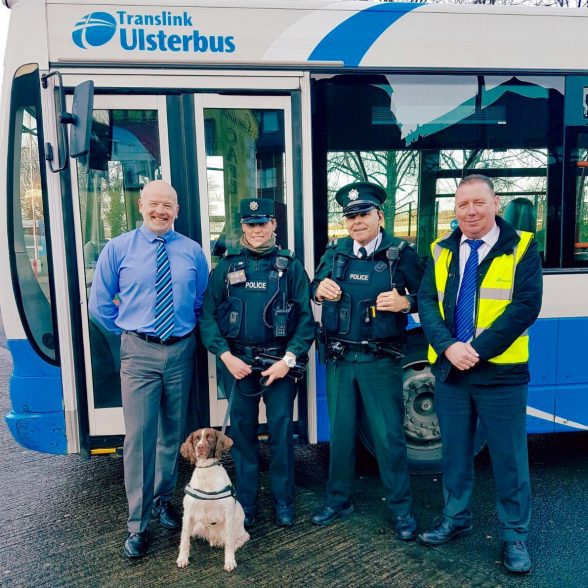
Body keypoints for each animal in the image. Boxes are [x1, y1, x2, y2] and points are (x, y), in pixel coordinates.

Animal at [175, 430, 248, 572]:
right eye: (196, 439)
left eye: (210, 438)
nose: (200, 447)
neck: (207, 471)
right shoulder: (188, 514)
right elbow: (185, 539)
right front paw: (182, 558)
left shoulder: (228, 513)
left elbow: (230, 543)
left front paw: (230, 561)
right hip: (197, 526)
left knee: (240, 539)